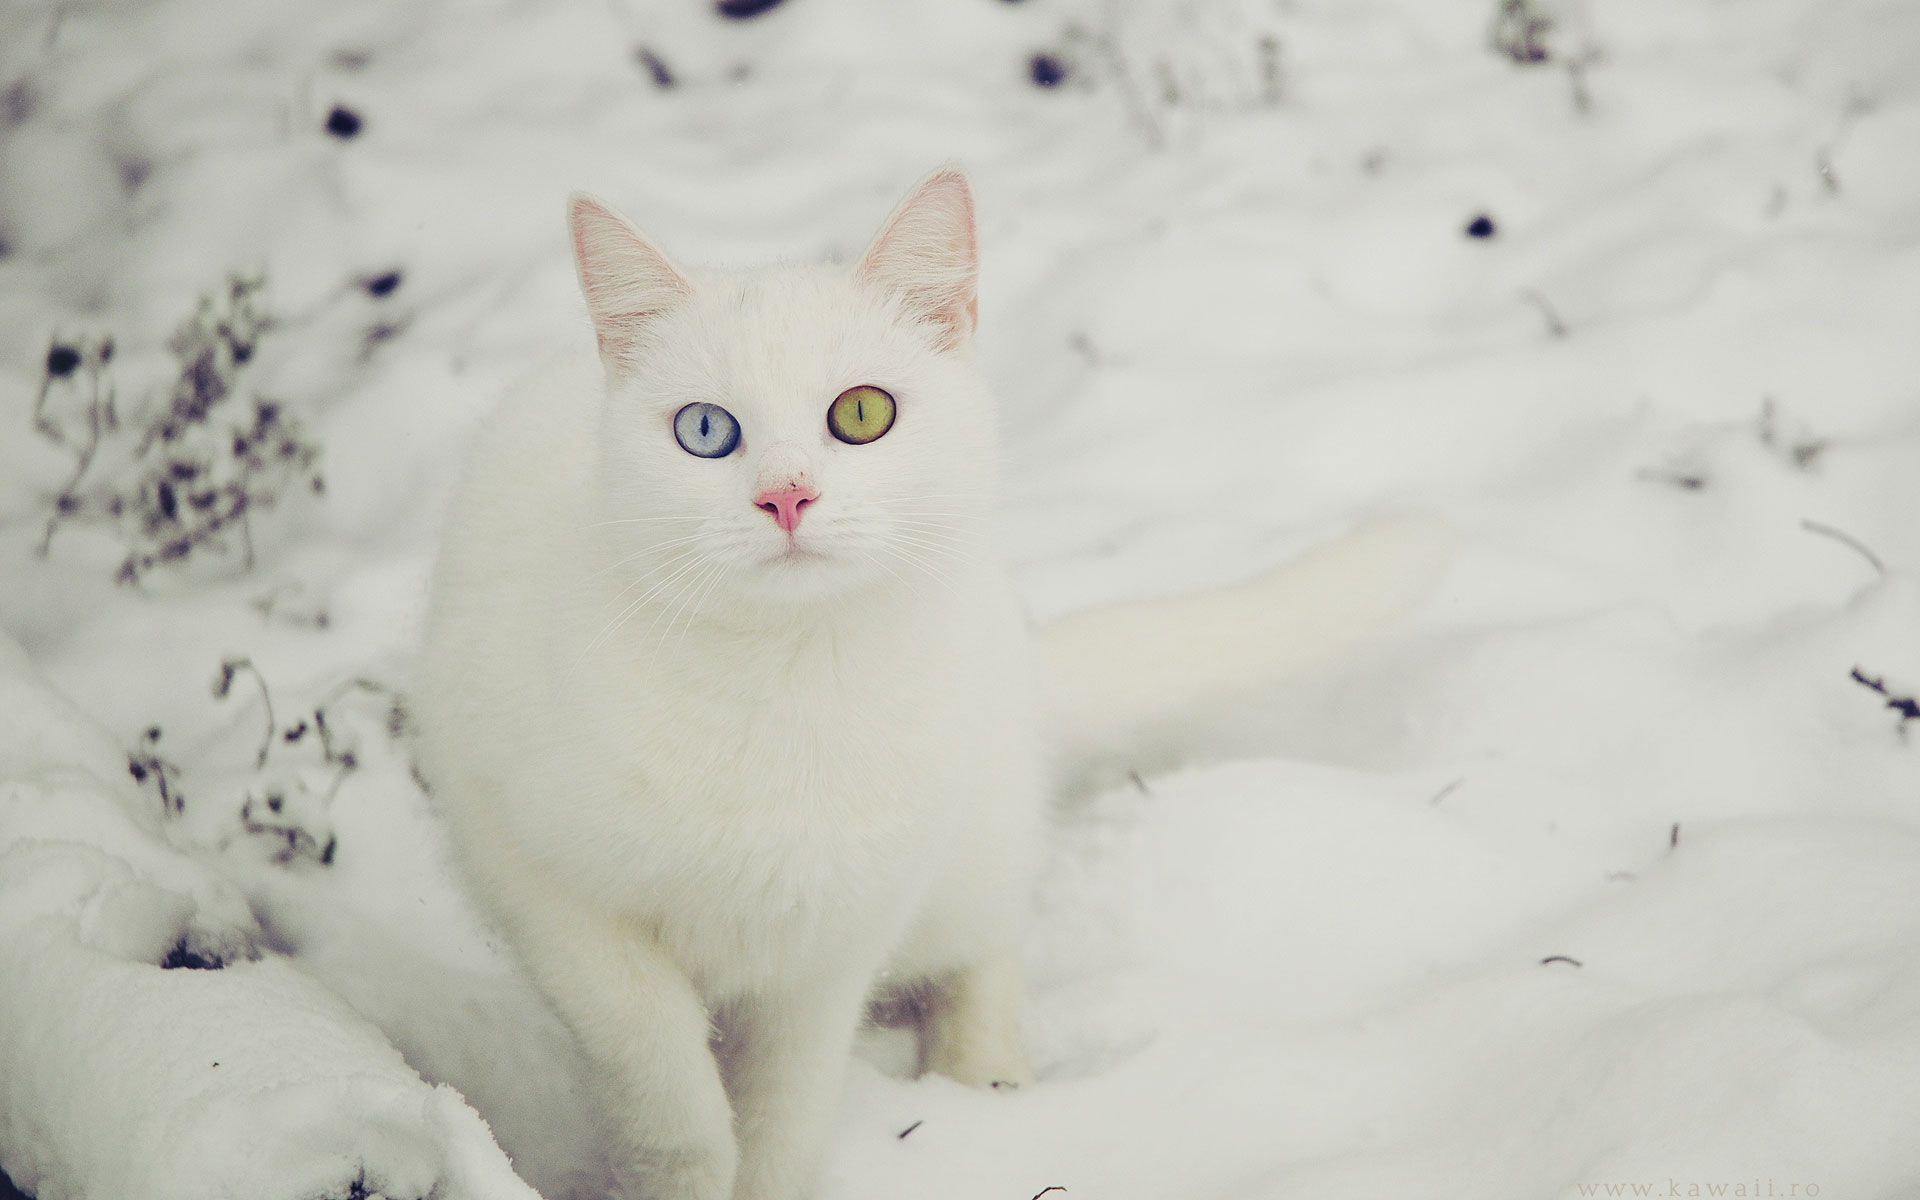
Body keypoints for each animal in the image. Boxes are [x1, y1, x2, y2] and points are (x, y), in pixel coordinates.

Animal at [412, 168, 1443, 1198]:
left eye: (862, 414)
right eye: (705, 430)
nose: (785, 496)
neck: (787, 687)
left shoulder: (835, 944)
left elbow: (788, 1110)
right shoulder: (545, 891)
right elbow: (667, 1090)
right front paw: (683, 1173)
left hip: (965, 847)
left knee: (991, 936)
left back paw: (980, 1072)